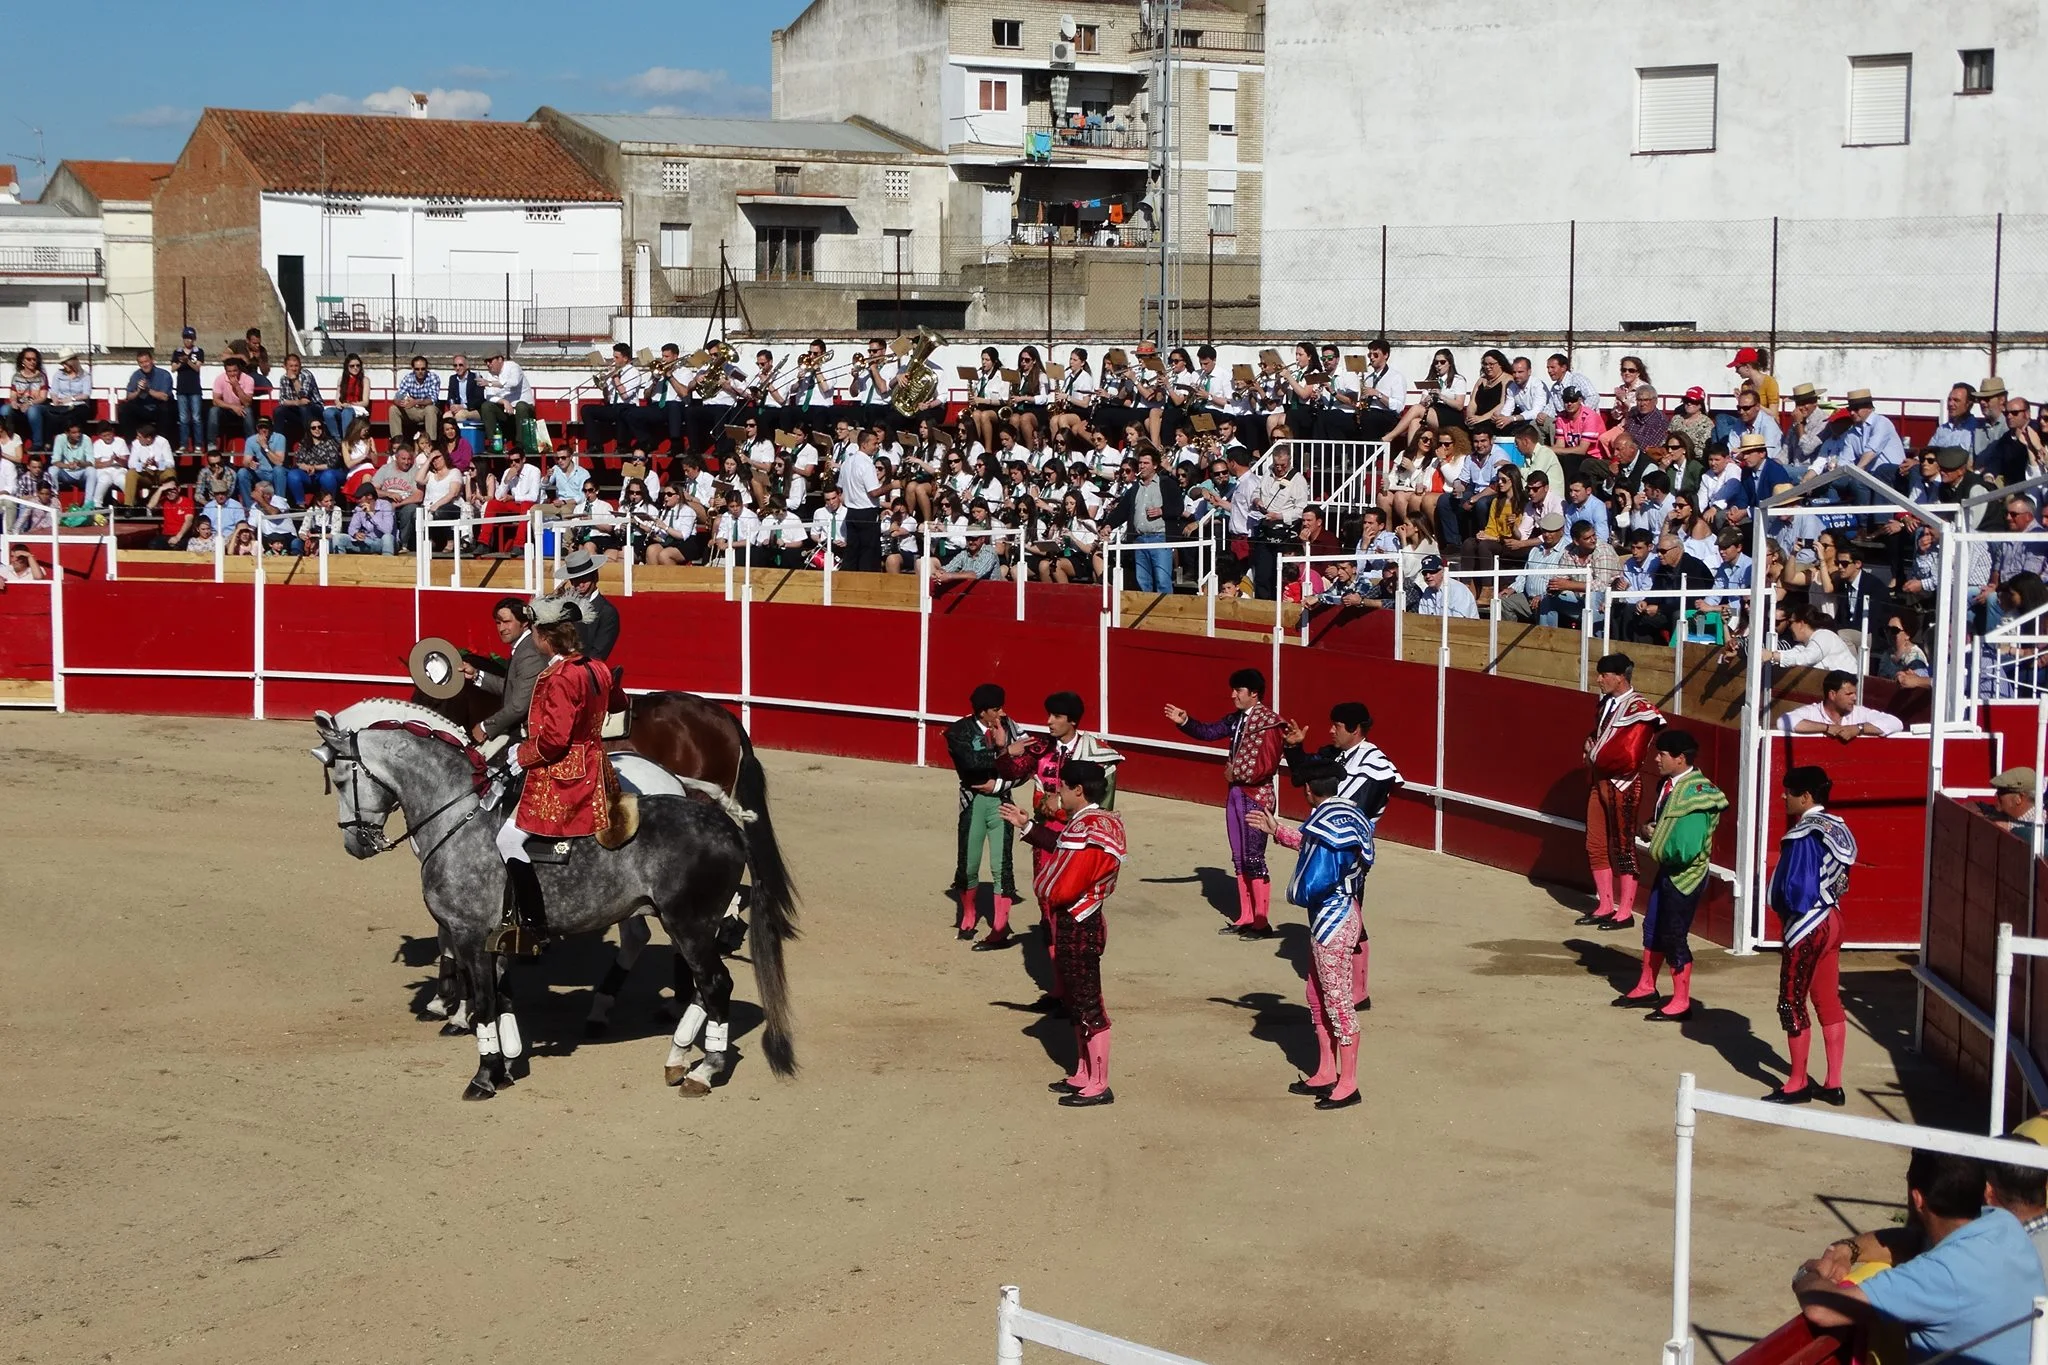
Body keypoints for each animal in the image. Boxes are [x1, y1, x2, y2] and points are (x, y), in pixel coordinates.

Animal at [313, 703, 798, 1096]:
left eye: (337, 778)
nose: (355, 844)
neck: (458, 817)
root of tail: (727, 826)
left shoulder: (470, 935)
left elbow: (485, 1002)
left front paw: (483, 1074)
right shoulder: (495, 939)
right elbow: (503, 999)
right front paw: (506, 1065)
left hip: (690, 925)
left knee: (715, 984)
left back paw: (702, 1069)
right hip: (686, 926)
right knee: (699, 980)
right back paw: (676, 1054)